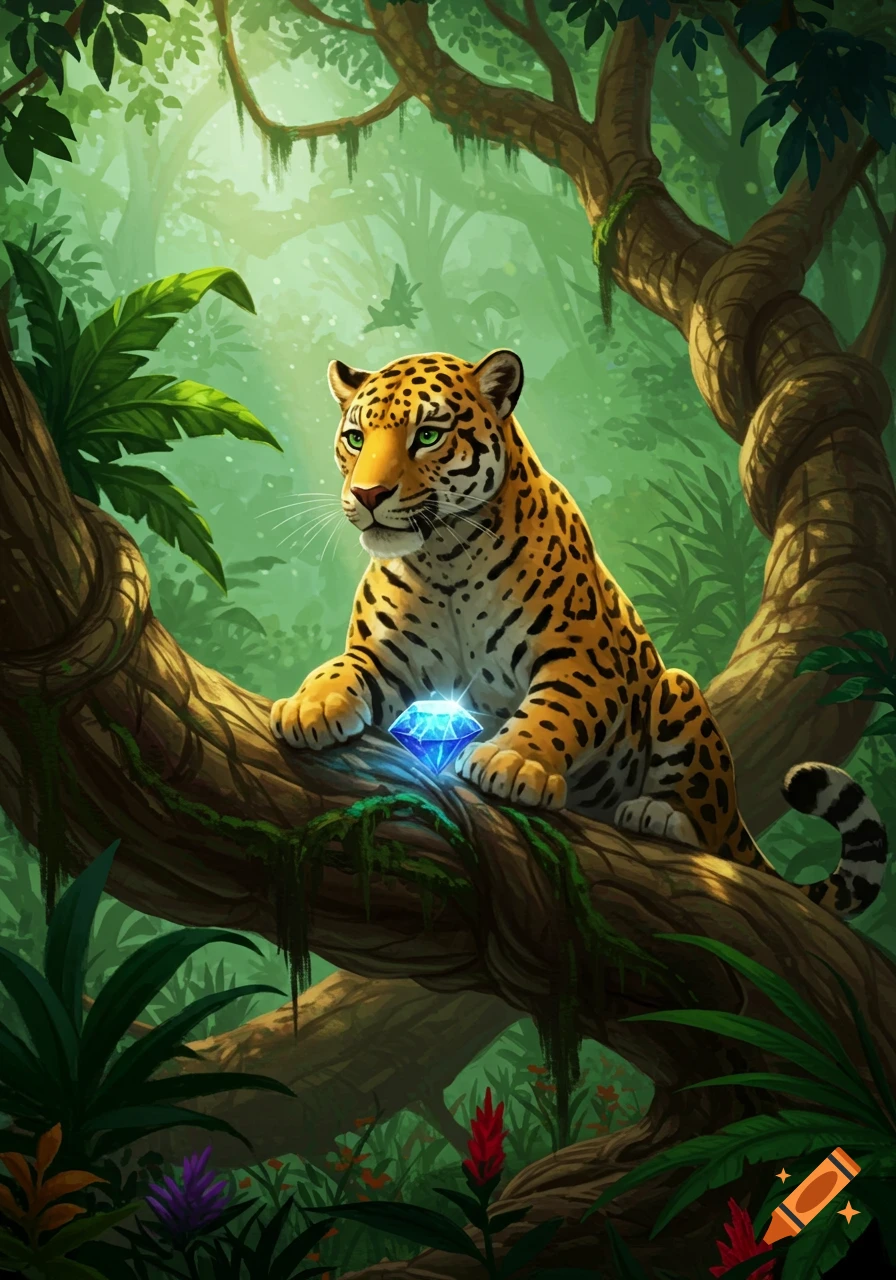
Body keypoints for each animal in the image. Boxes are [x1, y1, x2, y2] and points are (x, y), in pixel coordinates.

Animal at [271, 348, 889, 921]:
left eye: (427, 435)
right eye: (355, 438)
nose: (368, 495)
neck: (446, 557)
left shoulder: (582, 661)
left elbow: (554, 712)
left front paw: (511, 762)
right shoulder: (386, 656)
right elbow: (341, 668)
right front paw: (309, 706)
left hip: (679, 694)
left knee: (709, 825)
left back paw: (658, 814)